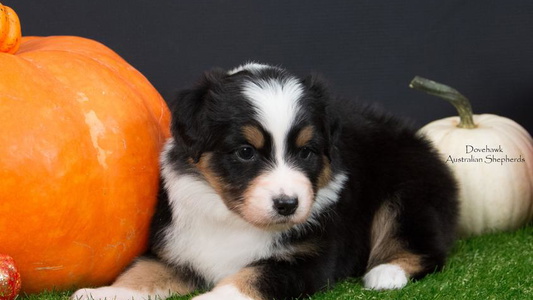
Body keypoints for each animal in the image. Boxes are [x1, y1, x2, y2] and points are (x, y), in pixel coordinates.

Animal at [71, 63, 458, 300]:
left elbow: (251, 277)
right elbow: (141, 272)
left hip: (409, 192)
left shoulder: (309, 259)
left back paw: (385, 273)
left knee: (425, 248)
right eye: (245, 152)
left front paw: (210, 297)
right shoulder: (178, 250)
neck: (235, 221)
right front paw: (101, 293)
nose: (287, 205)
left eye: (306, 152)